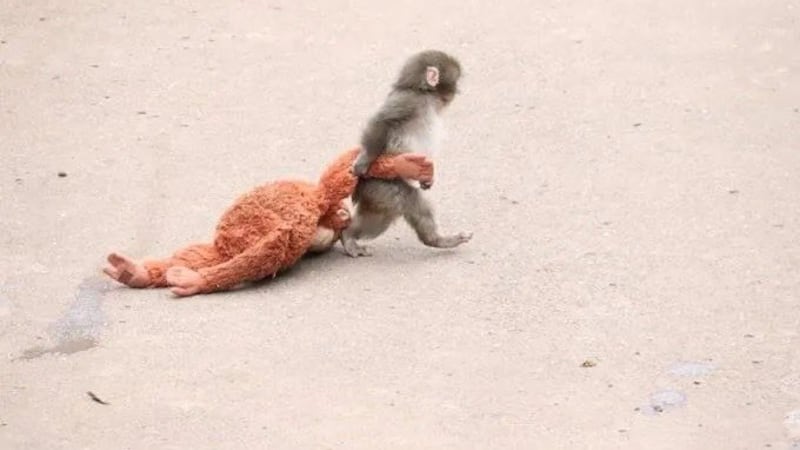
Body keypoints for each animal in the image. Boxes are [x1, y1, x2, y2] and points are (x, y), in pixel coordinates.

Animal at [341, 49, 472, 257]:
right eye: (456, 81)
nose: (457, 91)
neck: (423, 93)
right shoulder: (409, 101)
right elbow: (382, 121)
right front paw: (364, 160)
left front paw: (427, 179)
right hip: (381, 185)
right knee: (411, 202)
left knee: (379, 219)